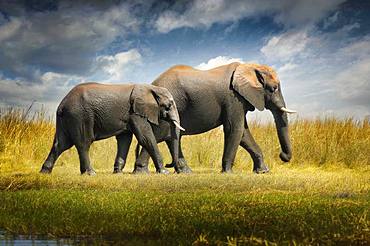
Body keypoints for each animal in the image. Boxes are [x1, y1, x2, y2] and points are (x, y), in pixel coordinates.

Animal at [39, 82, 183, 175]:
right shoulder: (135, 112)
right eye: (169, 105)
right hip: (80, 115)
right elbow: (145, 137)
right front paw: (164, 172)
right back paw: (91, 173)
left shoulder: (129, 115)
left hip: (66, 118)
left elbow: (124, 140)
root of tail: (62, 104)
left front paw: (118, 172)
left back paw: (45, 172)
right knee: (84, 143)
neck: (151, 88)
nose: (169, 165)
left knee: (61, 144)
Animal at [134, 62, 296, 174]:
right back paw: (142, 172)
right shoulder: (233, 98)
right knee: (159, 134)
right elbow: (235, 129)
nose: (282, 155)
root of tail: (152, 84)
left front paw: (262, 172)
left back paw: (185, 172)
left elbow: (243, 133)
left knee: (172, 137)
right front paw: (228, 173)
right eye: (274, 89)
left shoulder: (239, 100)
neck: (249, 66)